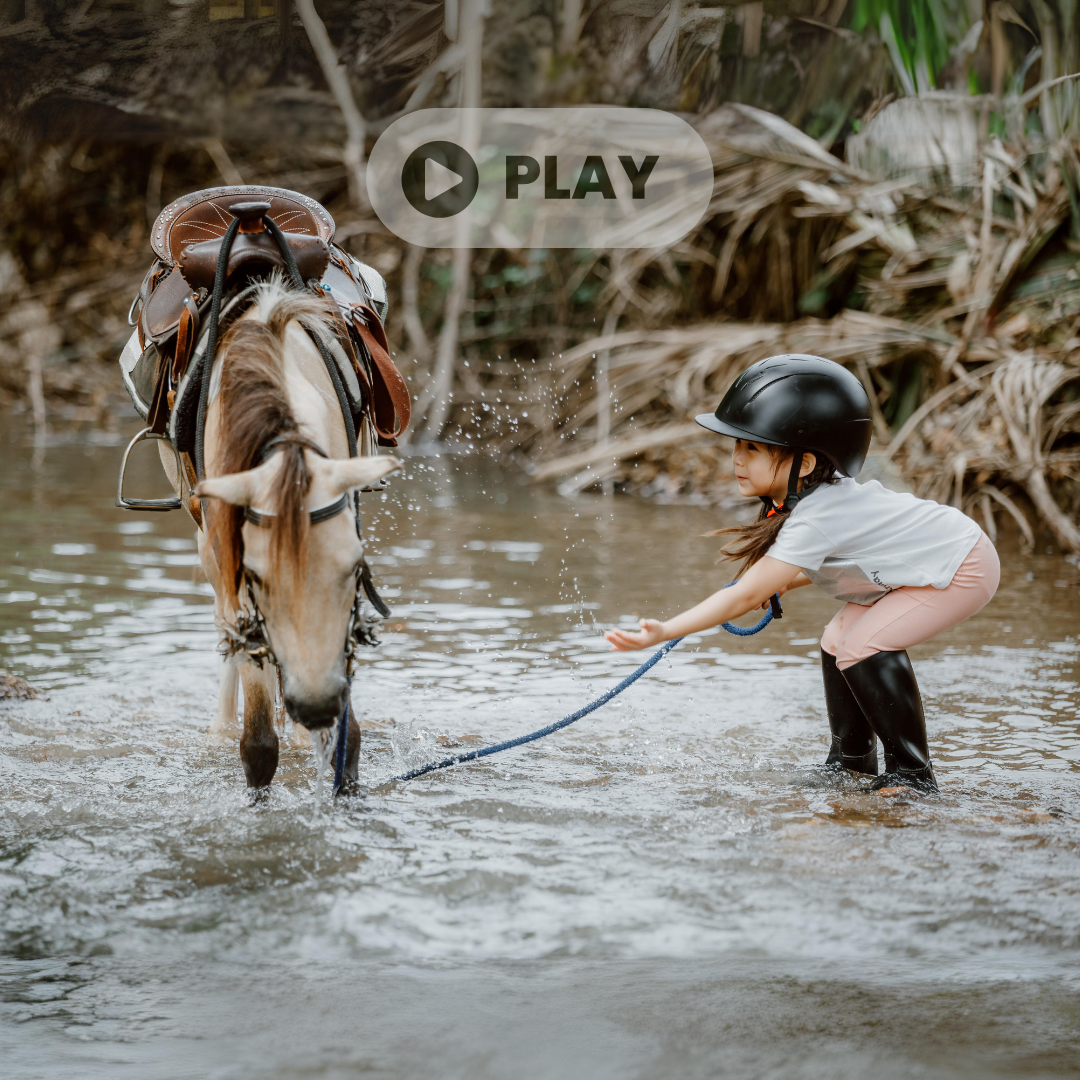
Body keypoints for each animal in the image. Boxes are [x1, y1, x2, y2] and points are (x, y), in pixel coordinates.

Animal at [166, 278, 403, 794]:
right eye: (256, 576)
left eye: (355, 568)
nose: (315, 705)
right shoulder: (235, 576)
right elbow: (257, 745)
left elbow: (347, 741)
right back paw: (219, 729)